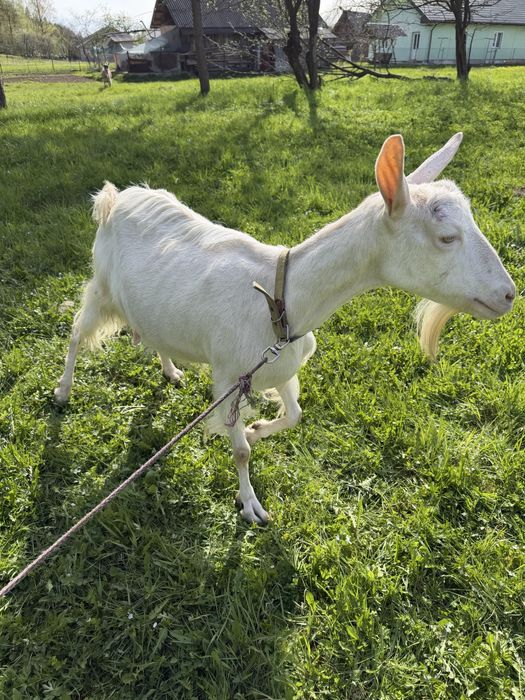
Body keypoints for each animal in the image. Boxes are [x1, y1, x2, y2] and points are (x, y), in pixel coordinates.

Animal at [54, 134, 516, 524]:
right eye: (447, 236)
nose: (509, 294)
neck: (280, 299)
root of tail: (116, 197)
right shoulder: (228, 377)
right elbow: (240, 452)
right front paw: (250, 505)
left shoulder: (280, 363)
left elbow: (294, 414)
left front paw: (258, 429)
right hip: (102, 285)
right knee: (76, 331)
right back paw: (62, 392)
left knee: (152, 333)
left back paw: (171, 371)